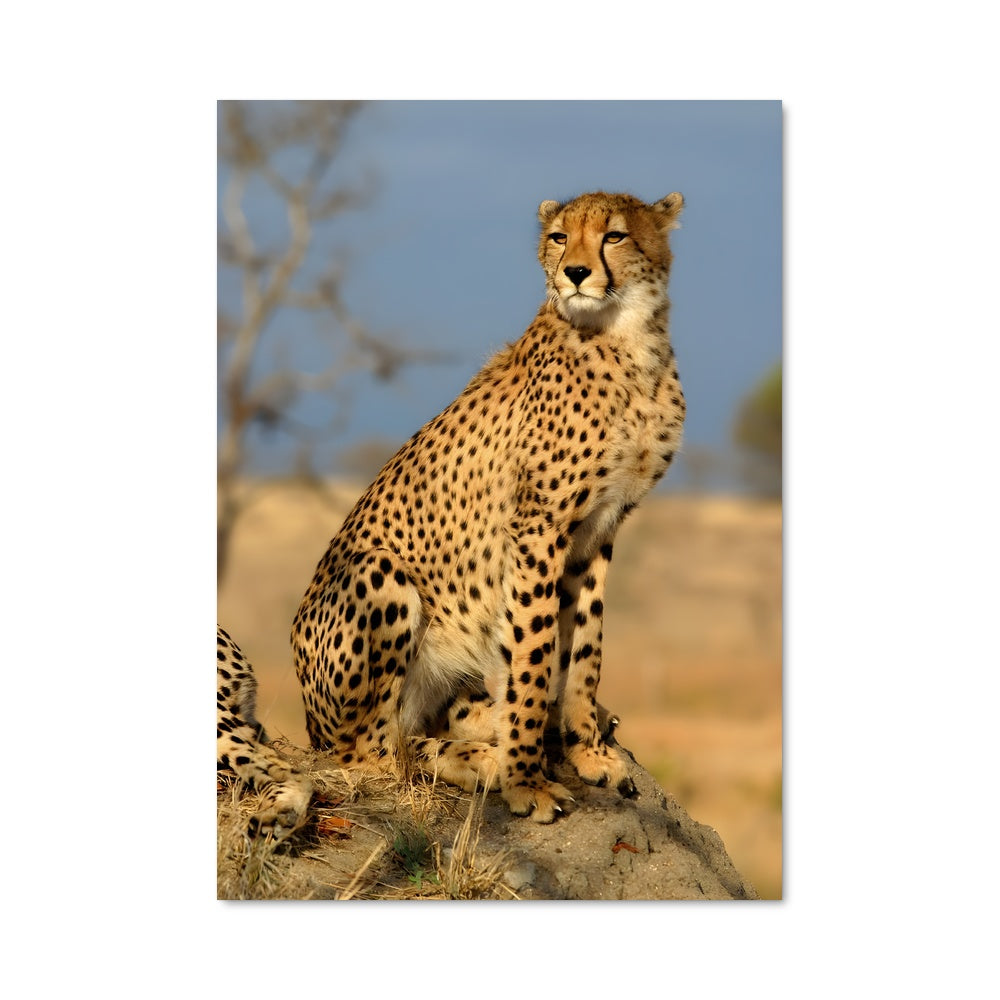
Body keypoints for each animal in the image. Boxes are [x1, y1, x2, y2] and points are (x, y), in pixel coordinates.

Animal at [292, 190, 686, 823]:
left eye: (615, 236)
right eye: (558, 236)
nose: (576, 273)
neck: (628, 340)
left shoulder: (599, 528)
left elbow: (585, 647)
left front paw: (587, 750)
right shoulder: (538, 527)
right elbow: (534, 650)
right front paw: (527, 781)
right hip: (378, 574)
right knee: (378, 755)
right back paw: (486, 759)